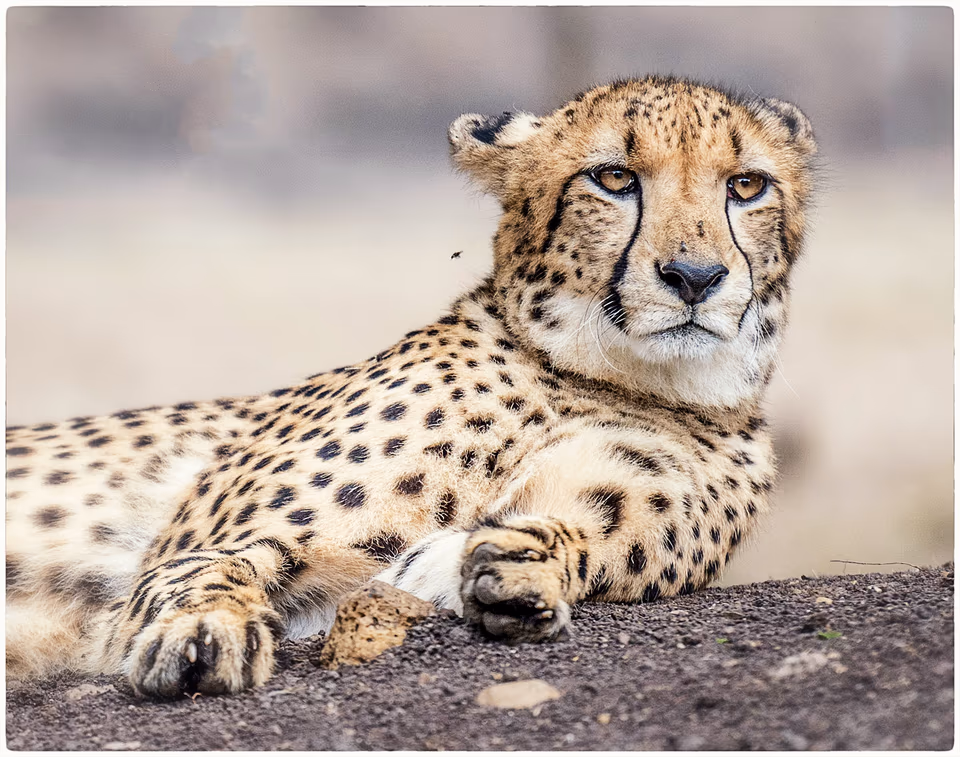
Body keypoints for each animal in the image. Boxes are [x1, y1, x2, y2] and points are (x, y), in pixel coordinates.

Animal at [6, 75, 816, 698]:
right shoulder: (200, 548)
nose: (695, 277)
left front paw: (526, 567)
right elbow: (208, 566)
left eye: (746, 186)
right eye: (614, 177)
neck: (603, 374)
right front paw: (202, 629)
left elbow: (572, 535)